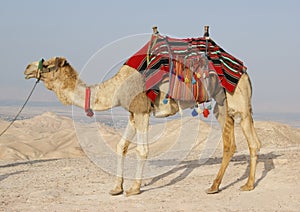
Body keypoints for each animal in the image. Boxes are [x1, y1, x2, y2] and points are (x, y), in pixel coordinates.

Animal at [24, 38, 262, 197]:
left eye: (48, 65)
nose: (27, 68)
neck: (116, 88)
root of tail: (244, 71)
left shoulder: (141, 109)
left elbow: (142, 150)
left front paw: (134, 188)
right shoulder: (132, 113)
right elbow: (121, 146)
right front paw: (116, 188)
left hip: (234, 98)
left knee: (241, 141)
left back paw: (229, 186)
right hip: (230, 105)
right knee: (244, 141)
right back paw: (233, 185)